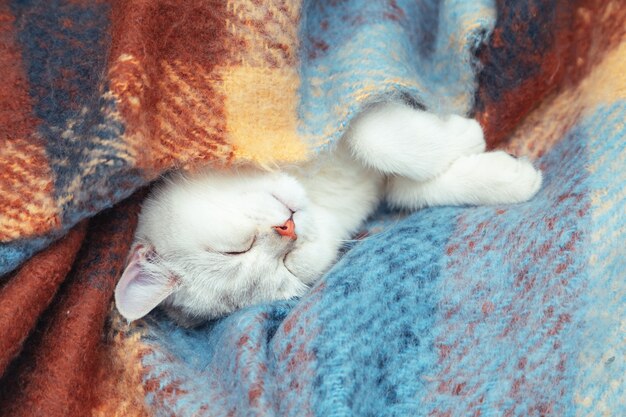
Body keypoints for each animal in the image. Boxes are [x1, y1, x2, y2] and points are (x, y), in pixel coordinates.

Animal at [113, 101, 540, 324]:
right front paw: (510, 178)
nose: (287, 228)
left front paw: (466, 133)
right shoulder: (387, 190)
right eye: (284, 272)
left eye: (232, 248)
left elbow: (377, 138)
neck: (320, 197)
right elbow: (413, 190)